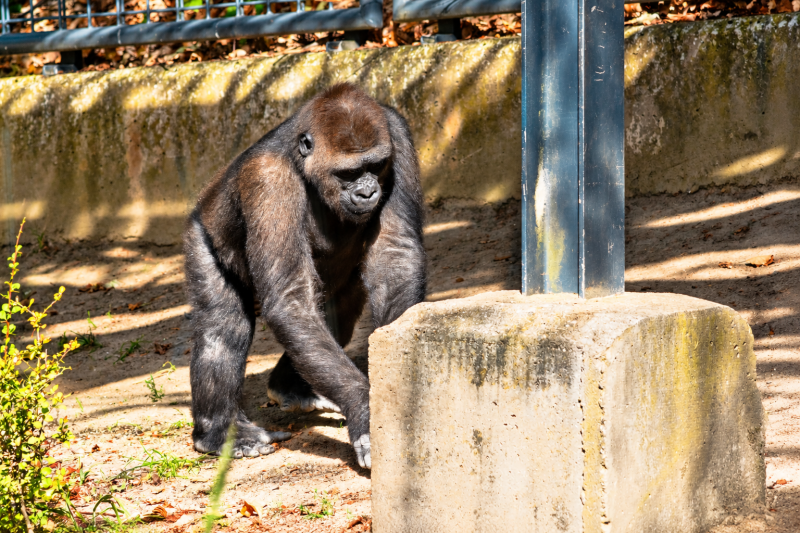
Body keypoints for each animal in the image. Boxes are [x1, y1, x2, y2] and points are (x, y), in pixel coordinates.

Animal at [184, 83, 426, 468]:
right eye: (348, 174)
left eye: (375, 166)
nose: (368, 192)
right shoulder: (268, 180)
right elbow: (288, 300)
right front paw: (365, 407)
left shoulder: (398, 135)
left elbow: (396, 252)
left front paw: (398, 375)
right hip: (202, 232)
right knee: (223, 324)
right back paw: (218, 432)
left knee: (337, 311)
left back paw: (291, 388)